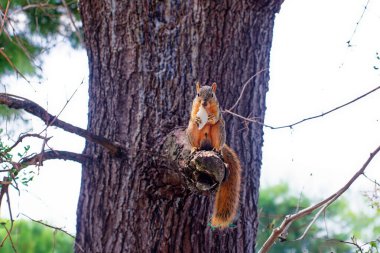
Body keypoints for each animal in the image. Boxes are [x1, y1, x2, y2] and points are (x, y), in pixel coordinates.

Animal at [186, 81, 242, 229]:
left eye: (212, 94)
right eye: (198, 94)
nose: (204, 103)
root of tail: (206, 146)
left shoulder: (217, 108)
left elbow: (215, 116)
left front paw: (211, 118)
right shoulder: (194, 106)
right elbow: (192, 114)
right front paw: (196, 117)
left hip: (219, 130)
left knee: (217, 134)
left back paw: (217, 149)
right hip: (192, 131)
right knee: (194, 137)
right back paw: (194, 148)